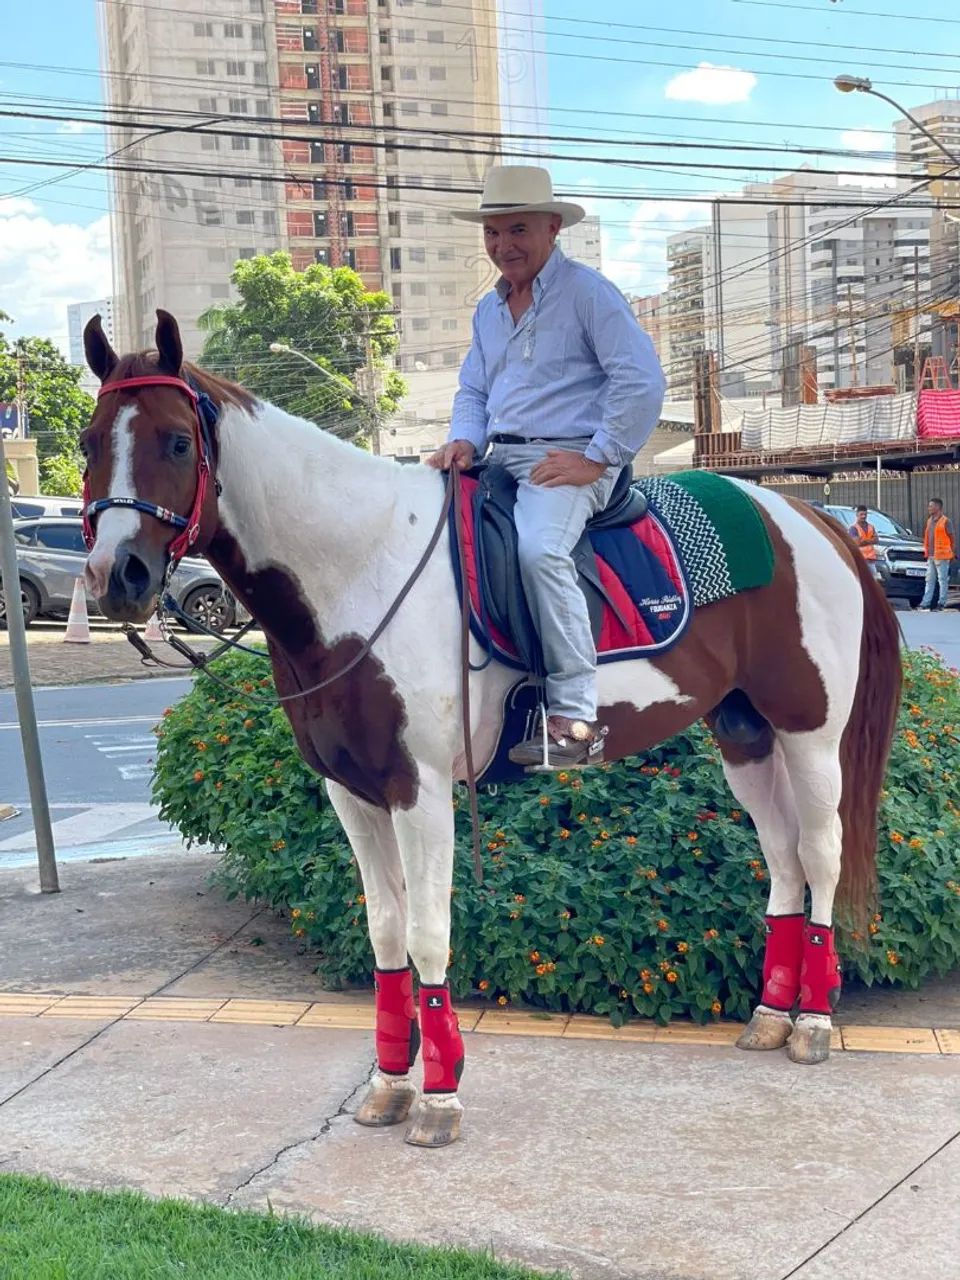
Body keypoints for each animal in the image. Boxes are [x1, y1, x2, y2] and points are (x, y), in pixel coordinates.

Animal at [80, 311, 901, 1148]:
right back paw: (771, 1015)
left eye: (176, 442)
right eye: (87, 442)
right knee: (784, 858)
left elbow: (428, 934)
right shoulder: (352, 793)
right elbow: (386, 934)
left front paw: (439, 1096)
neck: (360, 565)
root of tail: (815, 521)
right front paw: (389, 1084)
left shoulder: (420, 791)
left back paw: (813, 1023)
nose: (117, 577)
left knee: (822, 854)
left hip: (810, 732)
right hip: (743, 733)